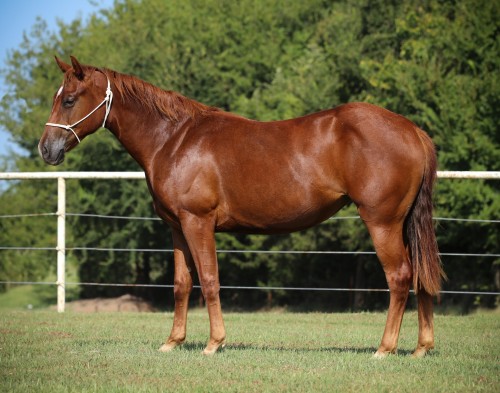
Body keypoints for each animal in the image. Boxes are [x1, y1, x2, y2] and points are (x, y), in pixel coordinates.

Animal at [40, 56, 446, 356]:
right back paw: (421, 348)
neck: (174, 139)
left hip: (382, 222)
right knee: (421, 276)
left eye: (69, 99)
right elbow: (182, 284)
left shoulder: (198, 222)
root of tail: (413, 131)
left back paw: (384, 348)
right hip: (404, 223)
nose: (46, 149)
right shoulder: (176, 227)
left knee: (400, 277)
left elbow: (209, 280)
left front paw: (214, 343)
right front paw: (173, 342)